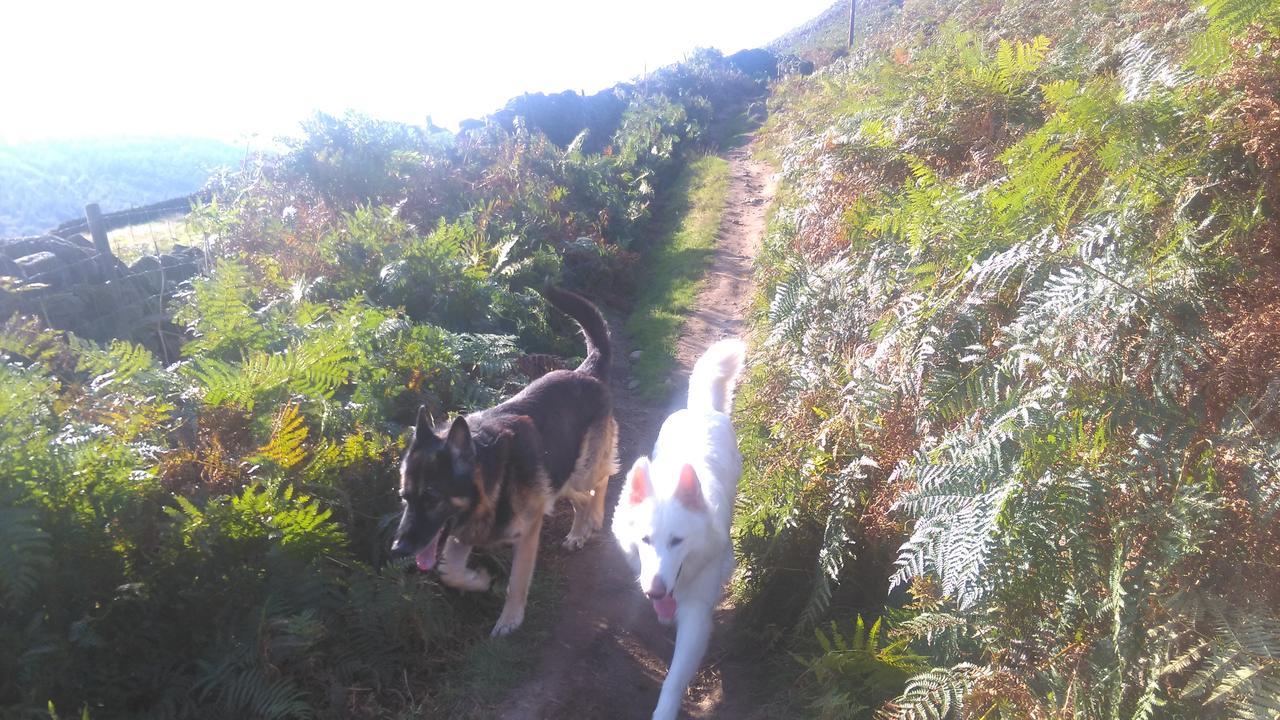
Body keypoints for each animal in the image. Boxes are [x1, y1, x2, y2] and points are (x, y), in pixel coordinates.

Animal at [389, 285, 619, 632]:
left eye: (431, 498)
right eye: (405, 498)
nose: (398, 549)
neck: (493, 475)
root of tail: (585, 372)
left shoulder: (529, 532)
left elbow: (516, 583)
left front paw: (510, 619)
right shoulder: (462, 535)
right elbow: (449, 572)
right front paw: (479, 580)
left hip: (578, 473)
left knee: (600, 482)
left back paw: (590, 522)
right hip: (562, 477)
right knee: (588, 491)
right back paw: (582, 528)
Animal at [611, 338, 747, 717]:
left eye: (677, 541)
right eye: (645, 540)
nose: (656, 592)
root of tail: (700, 409)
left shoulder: (697, 616)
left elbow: (673, 680)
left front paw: (664, 712)